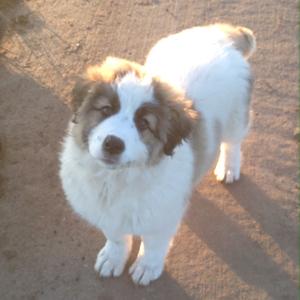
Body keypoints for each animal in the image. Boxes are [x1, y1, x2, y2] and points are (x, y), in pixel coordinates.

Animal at [59, 22, 255, 284]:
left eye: (144, 124)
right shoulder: (106, 213)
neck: (118, 179)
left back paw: (229, 167)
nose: (113, 144)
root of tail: (221, 33)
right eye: (106, 109)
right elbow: (115, 236)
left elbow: (154, 245)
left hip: (236, 117)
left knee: (233, 142)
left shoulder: (162, 219)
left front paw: (147, 266)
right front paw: (113, 257)